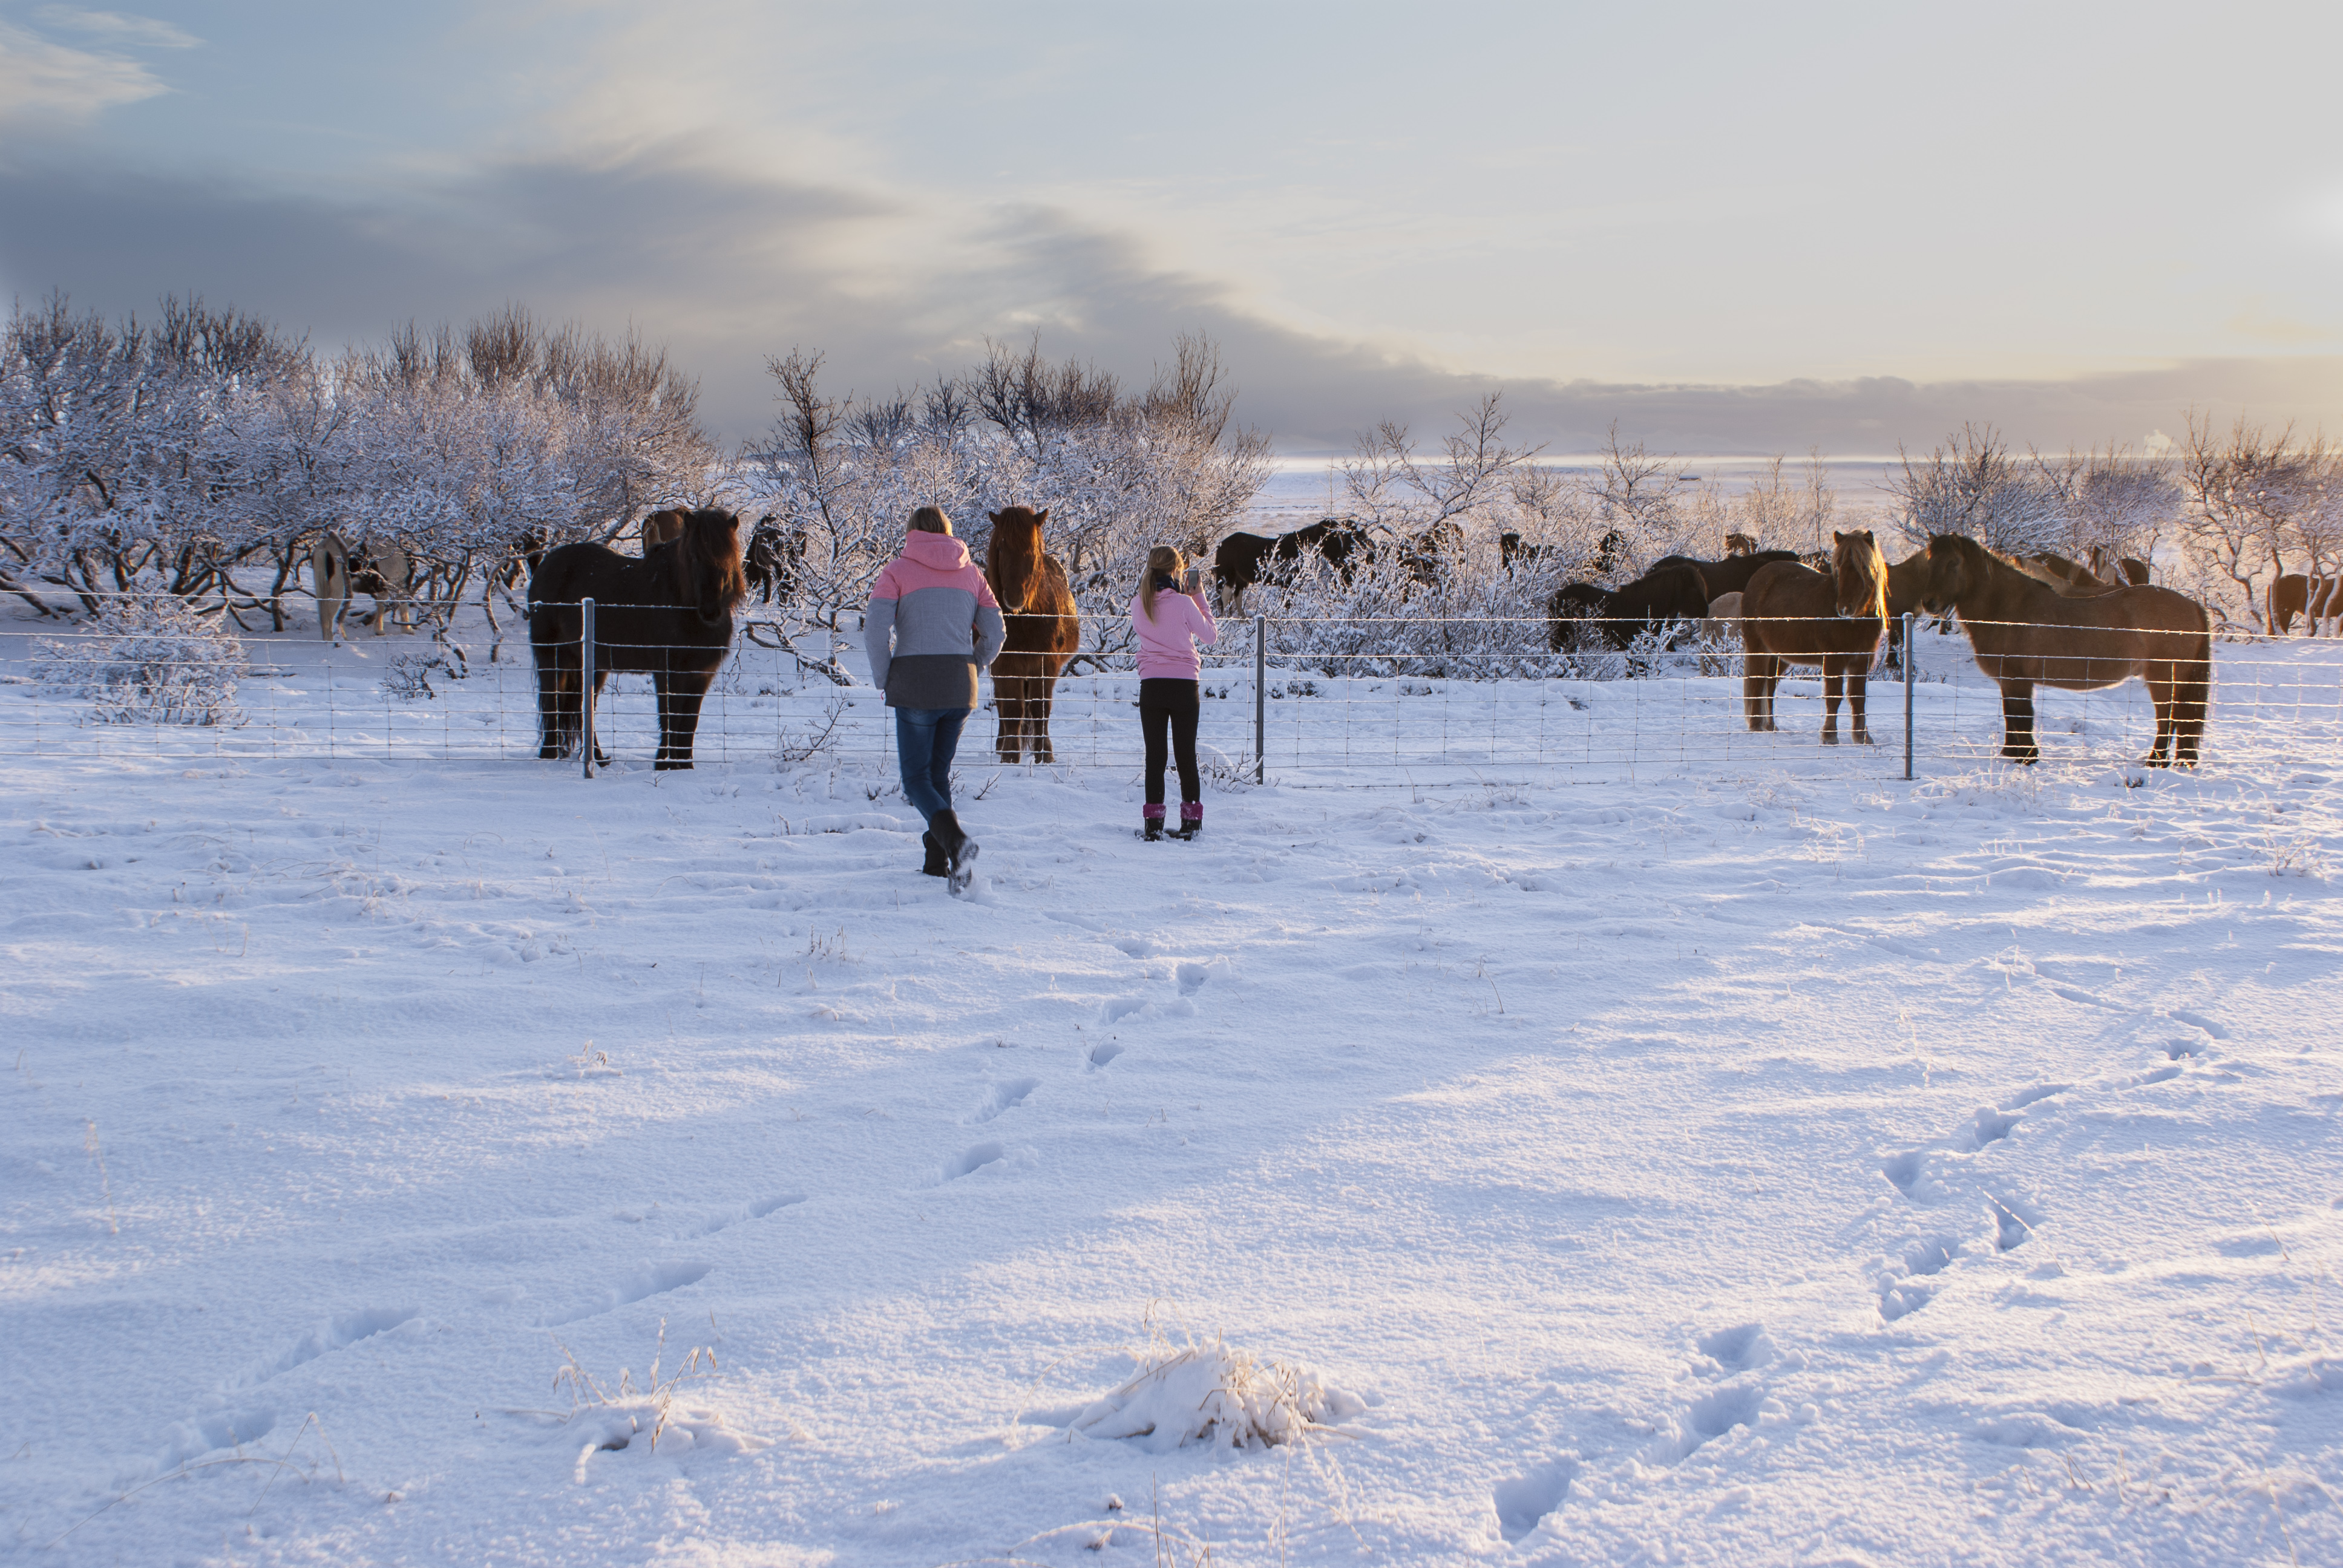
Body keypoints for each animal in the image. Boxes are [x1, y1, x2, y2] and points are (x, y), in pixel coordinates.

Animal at [531, 508, 750, 768]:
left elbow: (689, 723)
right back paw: (550, 756)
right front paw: (665, 763)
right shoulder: (667, 671)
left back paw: (598, 760)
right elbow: (669, 717)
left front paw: (686, 767)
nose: (711, 612)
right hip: (553, 656)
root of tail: (544, 565)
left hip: (591, 665)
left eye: (728, 557)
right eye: (694, 557)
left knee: (583, 708)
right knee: (553, 704)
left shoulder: (701, 674)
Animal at [979, 508, 1078, 764]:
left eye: (1032, 550)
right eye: (1001, 548)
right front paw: (1010, 756)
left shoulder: (1045, 664)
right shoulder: (1005, 665)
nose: (1014, 598)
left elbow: (1040, 708)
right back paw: (1001, 744)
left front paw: (1044, 754)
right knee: (1002, 705)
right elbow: (1012, 709)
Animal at [1743, 529, 1884, 745]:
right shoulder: (1834, 659)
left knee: (1770, 686)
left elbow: (1858, 698)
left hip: (1779, 655)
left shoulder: (1861, 660)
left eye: (1864, 568)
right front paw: (1830, 736)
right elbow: (1834, 696)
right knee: (1757, 683)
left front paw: (1863, 737)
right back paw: (1756, 726)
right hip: (1758, 648)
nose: (1844, 609)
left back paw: (1770, 726)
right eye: (1838, 566)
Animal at [1912, 532, 2202, 764]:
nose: (1929, 603)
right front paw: (2010, 754)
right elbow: (2010, 715)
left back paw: (2155, 761)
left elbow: (2022, 718)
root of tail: (2193, 606)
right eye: (1929, 562)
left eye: (1953, 563)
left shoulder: (2018, 680)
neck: (2008, 609)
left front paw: (2027, 758)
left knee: (2167, 719)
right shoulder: (2008, 680)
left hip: (2163, 678)